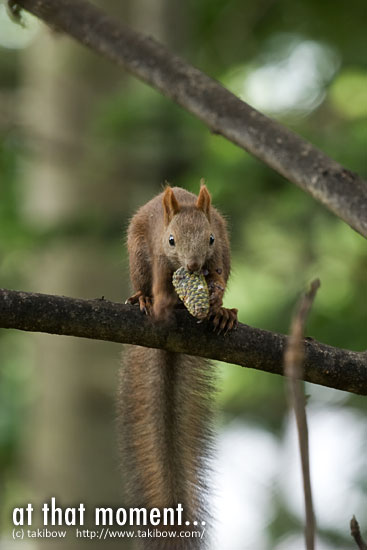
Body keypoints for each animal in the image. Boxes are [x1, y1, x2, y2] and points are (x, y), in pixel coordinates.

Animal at [118, 183, 239, 548]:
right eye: (171, 240)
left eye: (209, 238)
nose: (195, 264)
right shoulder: (158, 255)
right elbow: (159, 280)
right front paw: (154, 299)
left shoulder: (220, 249)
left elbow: (220, 274)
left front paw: (216, 302)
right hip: (137, 256)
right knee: (142, 282)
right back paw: (143, 299)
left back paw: (222, 313)